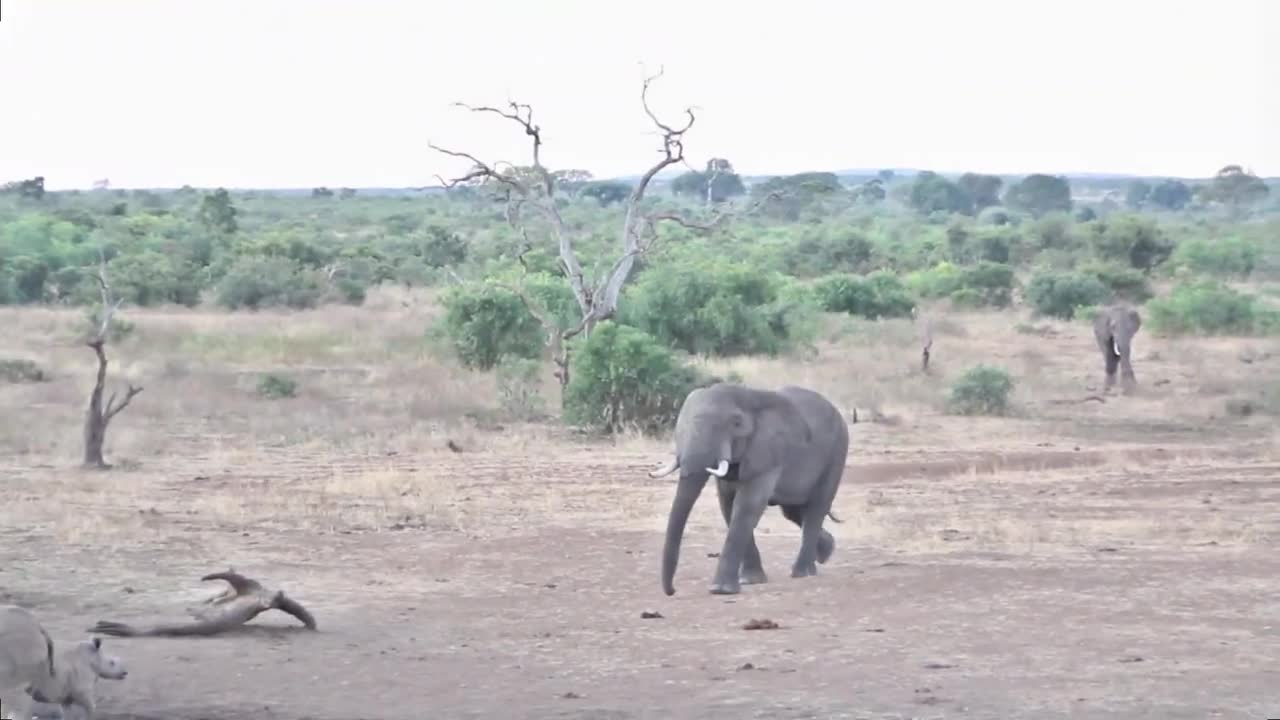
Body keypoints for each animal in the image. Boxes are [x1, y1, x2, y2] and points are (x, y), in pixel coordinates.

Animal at [650, 381, 849, 594]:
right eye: (681, 425)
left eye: (736, 423)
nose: (672, 591)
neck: (747, 397)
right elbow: (728, 505)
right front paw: (750, 580)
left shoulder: (769, 451)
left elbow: (747, 506)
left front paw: (721, 590)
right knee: (793, 510)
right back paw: (825, 552)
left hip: (837, 451)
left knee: (816, 508)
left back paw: (803, 572)